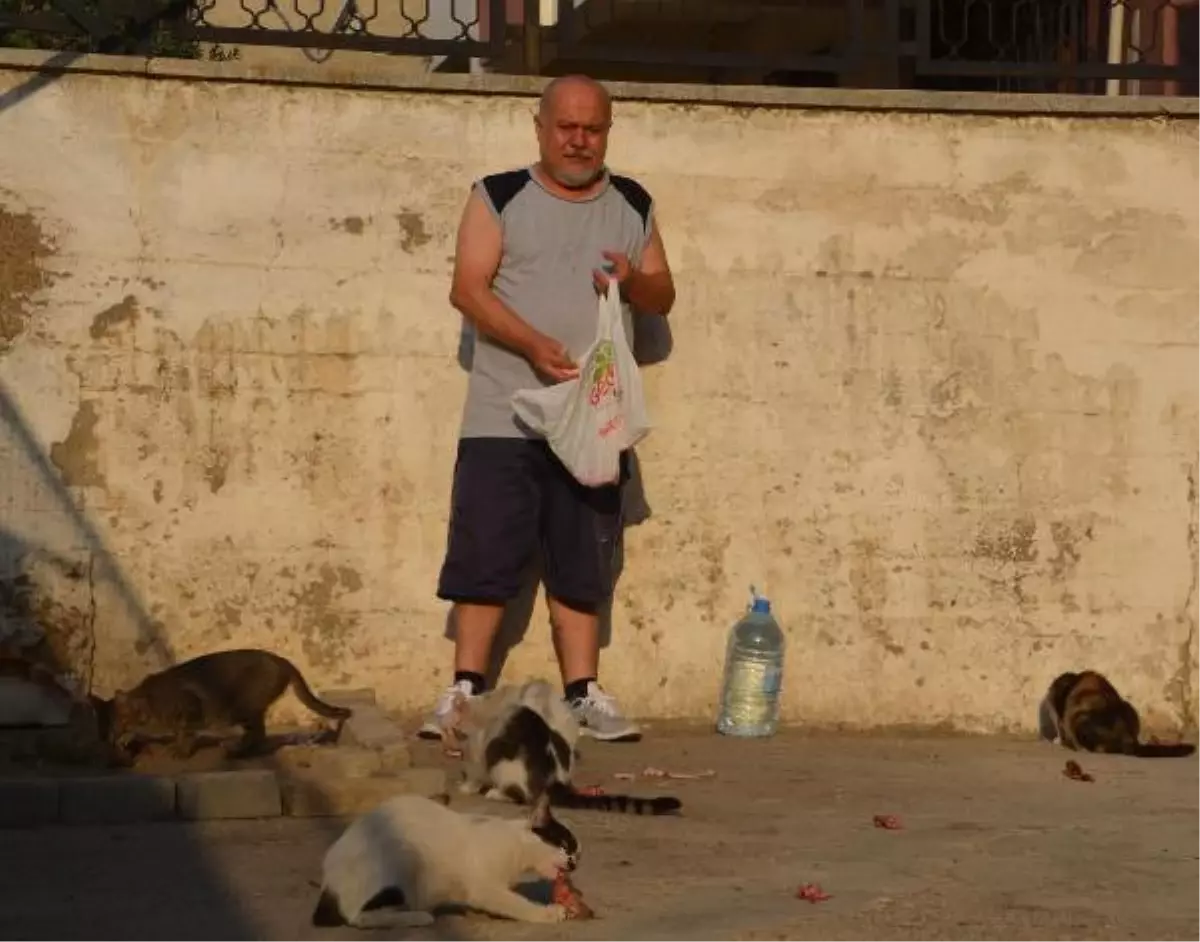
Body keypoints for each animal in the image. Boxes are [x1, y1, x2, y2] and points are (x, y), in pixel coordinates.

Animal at [94, 648, 350, 758]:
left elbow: (185, 732)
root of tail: (282, 659)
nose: (108, 738)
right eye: (105, 726)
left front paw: (180, 750)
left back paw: (236, 751)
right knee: (259, 734)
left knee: (259, 733)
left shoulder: (190, 707)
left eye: (115, 723)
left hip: (244, 707)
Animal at [312, 792, 578, 926]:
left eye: (577, 854)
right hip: (404, 855)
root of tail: (327, 880)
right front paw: (547, 914)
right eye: (565, 846)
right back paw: (420, 916)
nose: (574, 863)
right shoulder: (483, 887)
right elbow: (515, 903)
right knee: (355, 917)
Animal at [458, 676, 686, 816]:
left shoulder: (477, 747)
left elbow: (474, 771)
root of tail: (556, 780)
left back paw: (496, 793)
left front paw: (466, 787)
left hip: (502, 762)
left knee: (519, 795)